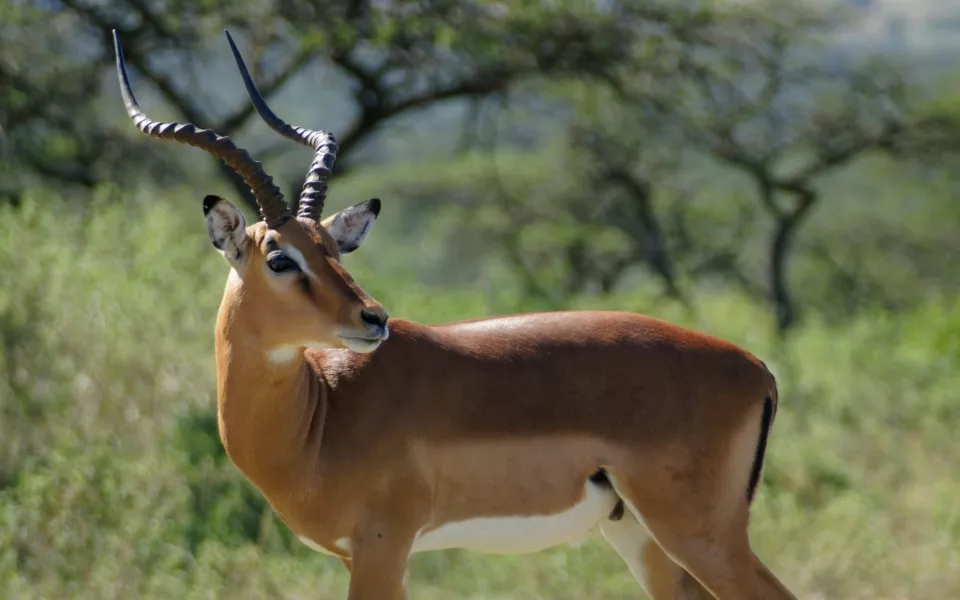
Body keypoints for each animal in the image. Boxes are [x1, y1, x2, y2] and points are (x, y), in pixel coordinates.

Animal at [112, 29, 800, 600]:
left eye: (333, 247)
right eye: (282, 258)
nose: (374, 318)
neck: (322, 414)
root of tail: (758, 369)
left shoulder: (382, 547)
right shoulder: (363, 557)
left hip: (700, 533)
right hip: (638, 534)